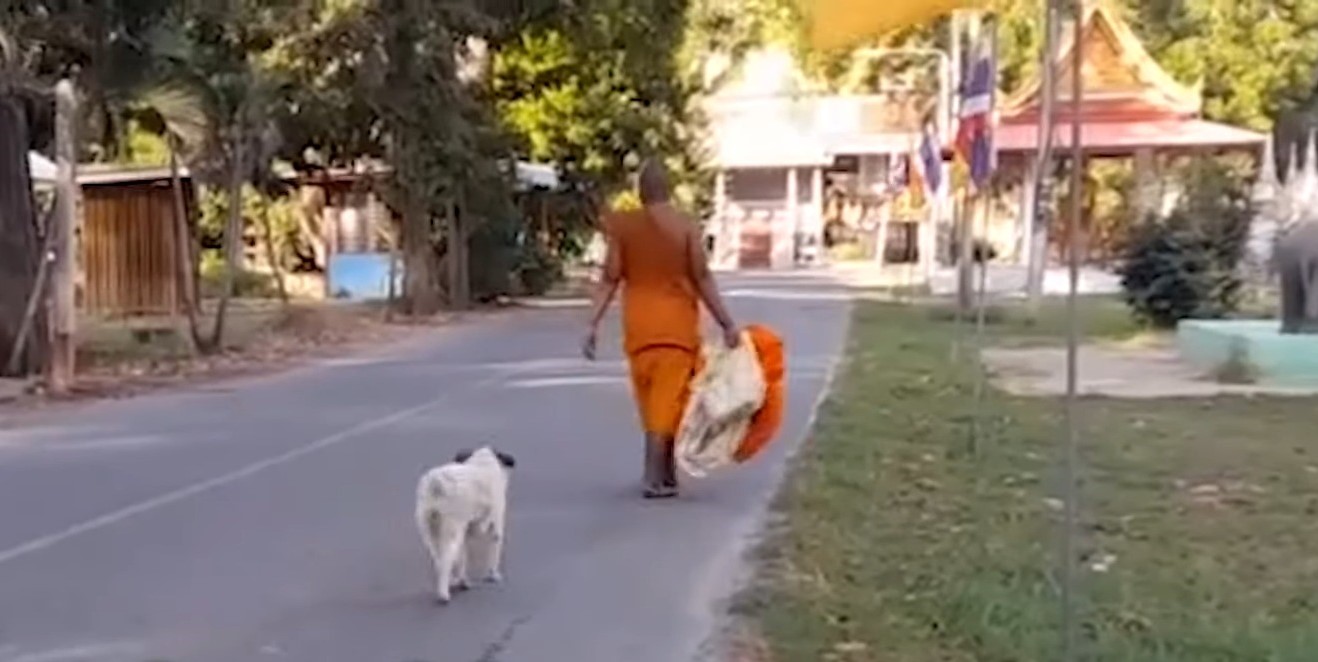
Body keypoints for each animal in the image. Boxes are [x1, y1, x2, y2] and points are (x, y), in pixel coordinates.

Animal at [416, 445, 514, 603]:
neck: (484, 462)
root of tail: (437, 482)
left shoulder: (467, 530)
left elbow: (463, 555)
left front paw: (463, 580)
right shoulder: (495, 524)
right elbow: (494, 546)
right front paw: (493, 575)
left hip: (429, 529)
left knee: (439, 557)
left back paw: (454, 582)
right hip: (452, 528)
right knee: (447, 558)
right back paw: (445, 593)